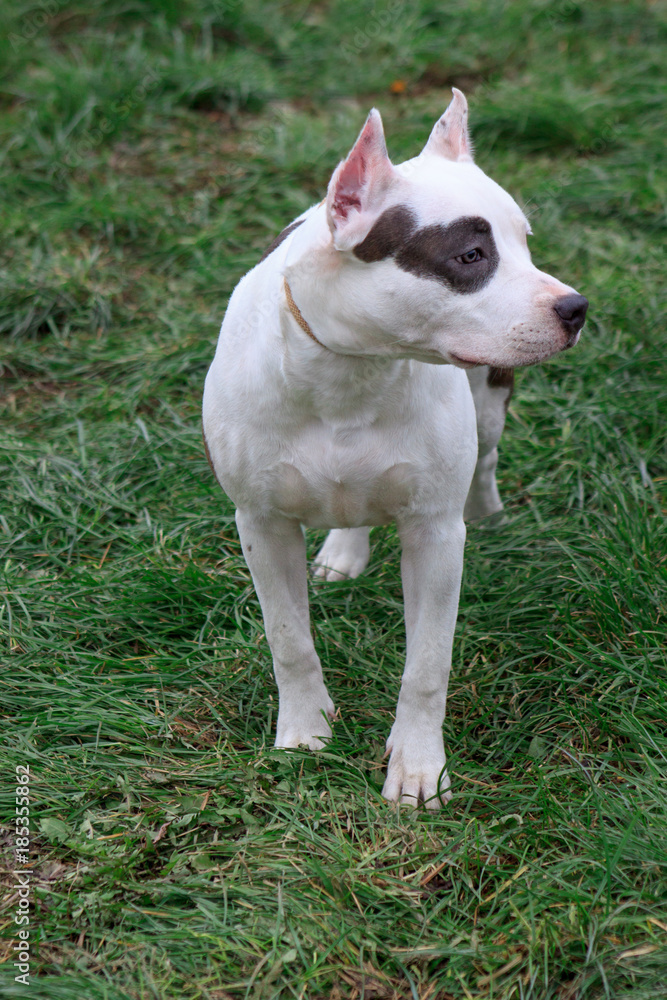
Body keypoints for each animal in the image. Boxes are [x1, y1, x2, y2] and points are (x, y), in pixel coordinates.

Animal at [201, 90, 588, 808]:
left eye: (524, 243)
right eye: (470, 256)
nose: (575, 307)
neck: (353, 371)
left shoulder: (433, 534)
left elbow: (427, 664)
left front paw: (416, 768)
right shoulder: (261, 524)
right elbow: (287, 638)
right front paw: (304, 733)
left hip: (489, 404)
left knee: (486, 458)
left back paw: (488, 512)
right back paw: (343, 552)